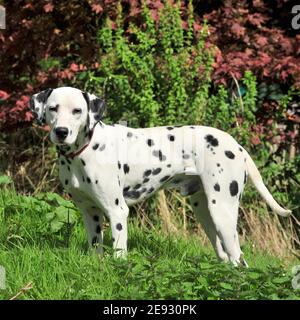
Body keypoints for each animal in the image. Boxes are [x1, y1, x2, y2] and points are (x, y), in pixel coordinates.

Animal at [30, 86, 290, 266]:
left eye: (77, 111)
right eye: (53, 108)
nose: (61, 132)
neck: (82, 152)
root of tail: (237, 145)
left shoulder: (117, 212)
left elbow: (119, 253)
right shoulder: (89, 212)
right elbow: (96, 249)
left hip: (223, 214)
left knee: (239, 260)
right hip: (206, 214)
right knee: (226, 256)